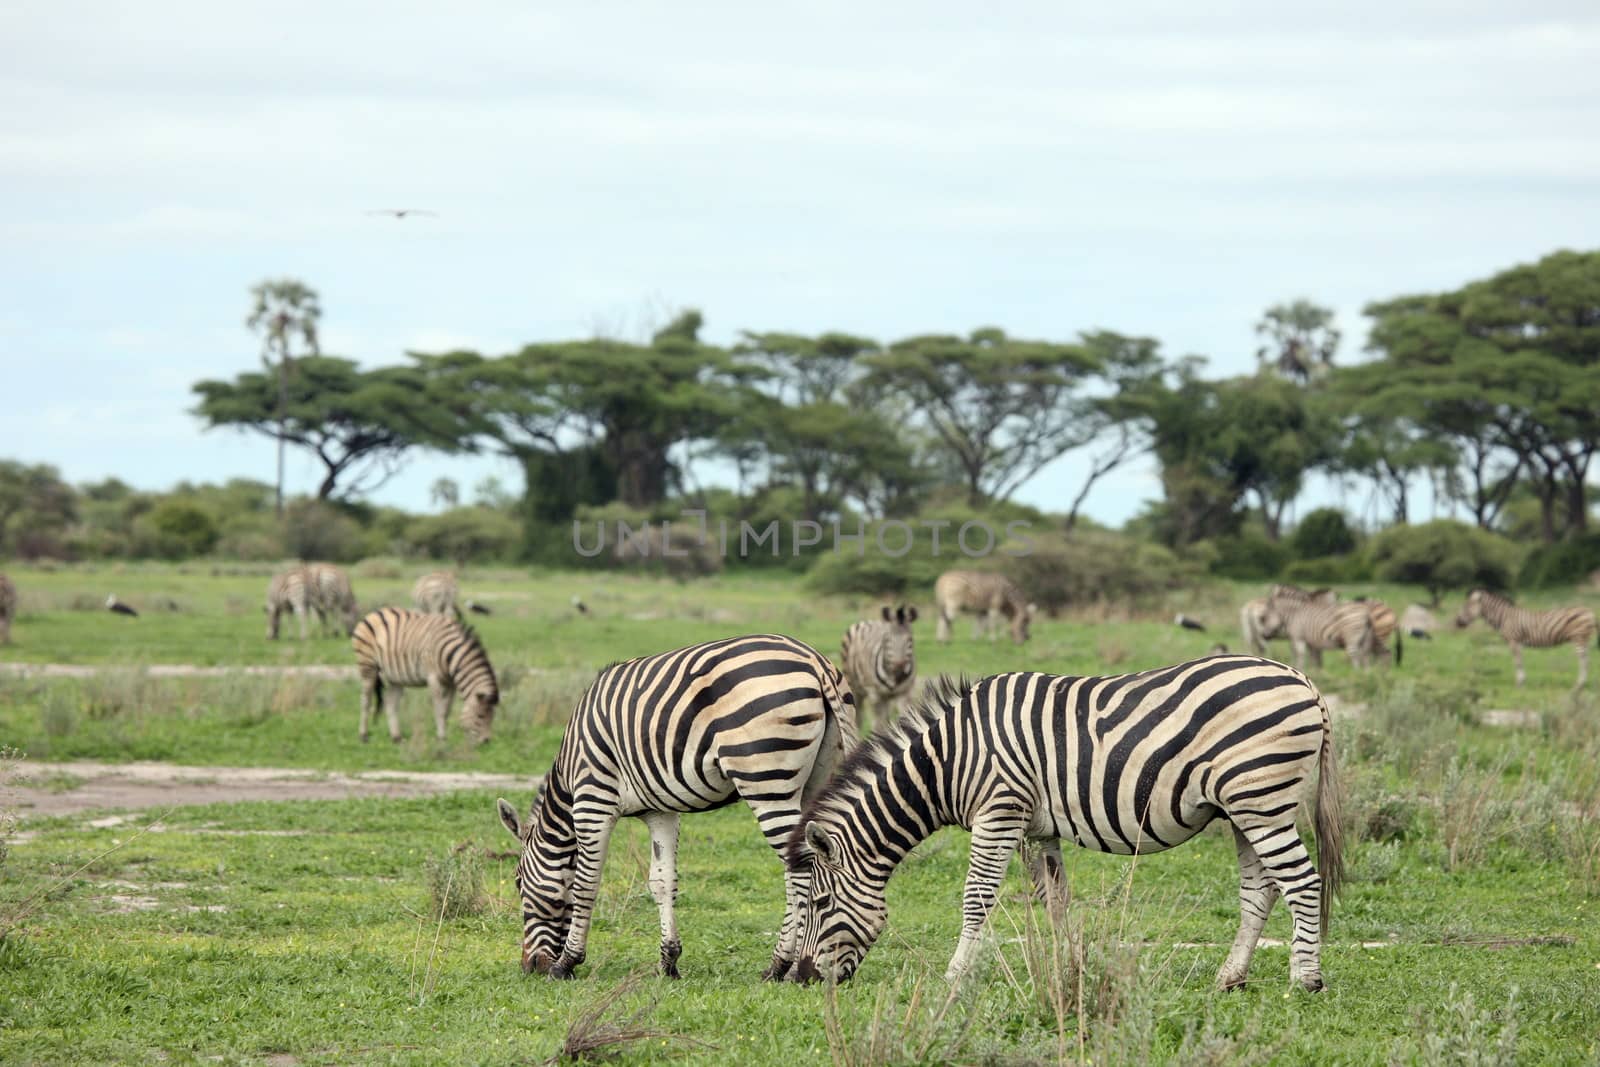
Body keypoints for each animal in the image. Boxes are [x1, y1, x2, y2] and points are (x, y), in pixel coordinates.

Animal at [350, 604, 499, 748]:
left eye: (493, 717)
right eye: (480, 716)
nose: (486, 742)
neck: (451, 655)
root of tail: (374, 612)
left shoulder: (450, 683)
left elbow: (447, 710)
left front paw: (441, 736)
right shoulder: (434, 679)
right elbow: (439, 710)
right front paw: (441, 738)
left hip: (395, 677)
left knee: (391, 704)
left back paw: (397, 738)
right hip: (368, 666)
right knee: (366, 701)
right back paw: (363, 736)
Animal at [492, 639, 857, 979]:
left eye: (517, 881)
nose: (530, 966)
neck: (570, 773)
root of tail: (814, 660)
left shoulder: (593, 800)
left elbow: (585, 883)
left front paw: (567, 962)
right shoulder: (660, 812)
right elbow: (662, 881)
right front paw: (668, 962)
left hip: (766, 782)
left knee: (802, 869)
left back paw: (784, 966)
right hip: (814, 781)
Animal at [787, 659, 1350, 991]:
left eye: (820, 903)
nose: (804, 978)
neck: (948, 762)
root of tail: (1304, 681)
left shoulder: (998, 810)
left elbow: (976, 898)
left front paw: (955, 976)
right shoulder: (1036, 827)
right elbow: (1053, 898)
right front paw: (1064, 970)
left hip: (1261, 800)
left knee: (1303, 883)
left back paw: (1305, 980)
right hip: (1244, 808)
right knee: (1261, 890)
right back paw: (1230, 978)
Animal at [844, 604, 921, 739]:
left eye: (910, 639)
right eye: (888, 639)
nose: (899, 666)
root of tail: (868, 621)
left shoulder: (904, 693)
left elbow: (905, 720)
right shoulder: (875, 695)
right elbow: (878, 726)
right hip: (855, 688)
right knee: (858, 718)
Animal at [1459, 585, 1593, 694]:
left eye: (1466, 607)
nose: (1457, 623)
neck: (1505, 617)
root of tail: (1589, 611)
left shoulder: (1514, 641)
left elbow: (1518, 662)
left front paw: (1520, 684)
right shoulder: (1517, 642)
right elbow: (1519, 661)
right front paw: (1521, 682)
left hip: (1579, 638)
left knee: (1584, 661)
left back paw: (1578, 686)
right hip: (1583, 640)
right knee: (1586, 660)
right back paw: (1581, 685)